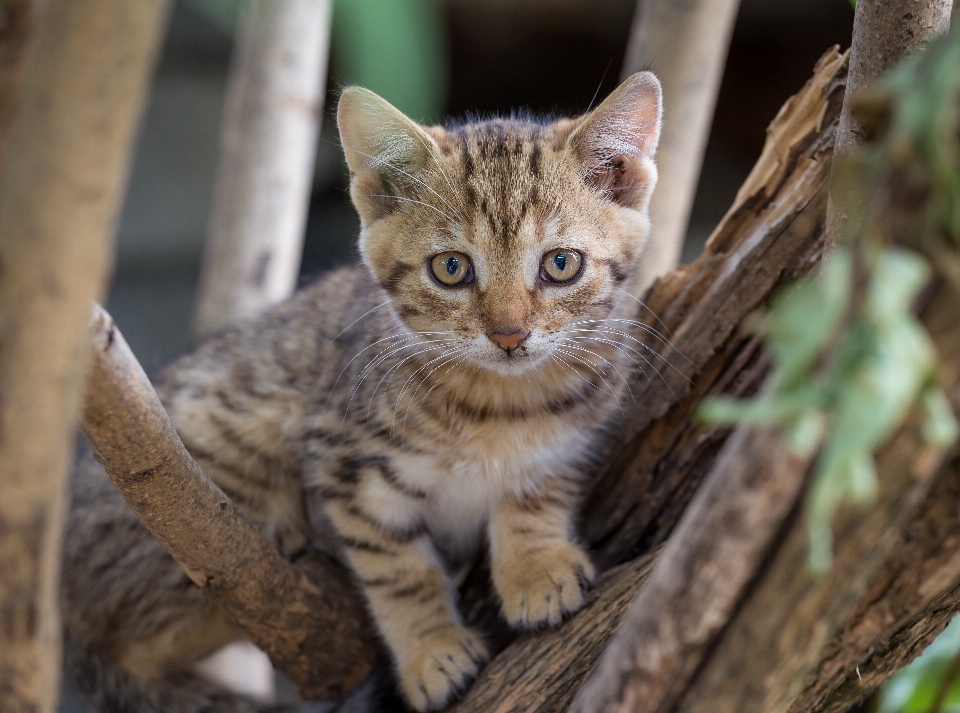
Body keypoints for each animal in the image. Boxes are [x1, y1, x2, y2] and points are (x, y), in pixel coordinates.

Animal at [60, 73, 660, 712]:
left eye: (562, 264)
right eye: (451, 268)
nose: (509, 335)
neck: (499, 401)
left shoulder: (576, 435)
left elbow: (536, 493)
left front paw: (535, 566)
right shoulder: (345, 462)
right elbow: (399, 569)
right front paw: (431, 652)